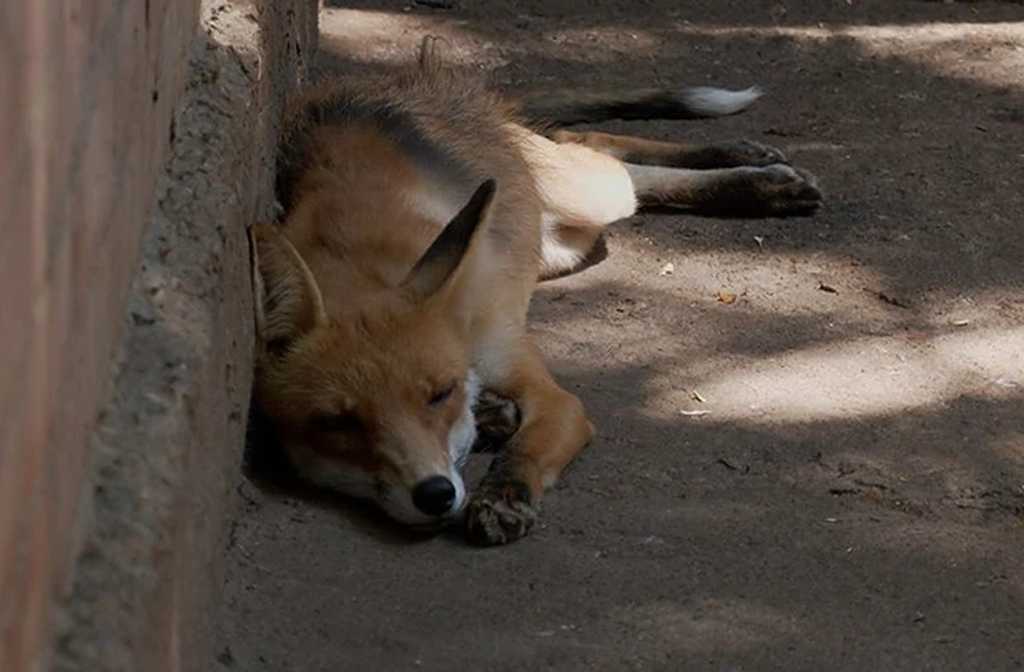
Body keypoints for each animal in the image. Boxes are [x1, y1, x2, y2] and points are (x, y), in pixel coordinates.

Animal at [251, 34, 819, 544]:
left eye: (438, 395)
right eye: (337, 424)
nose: (434, 495)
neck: (358, 264)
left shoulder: (542, 386)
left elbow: (528, 444)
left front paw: (505, 496)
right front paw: (490, 421)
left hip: (592, 197)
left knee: (603, 154)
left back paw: (757, 176)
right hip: (566, 245)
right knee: (591, 142)